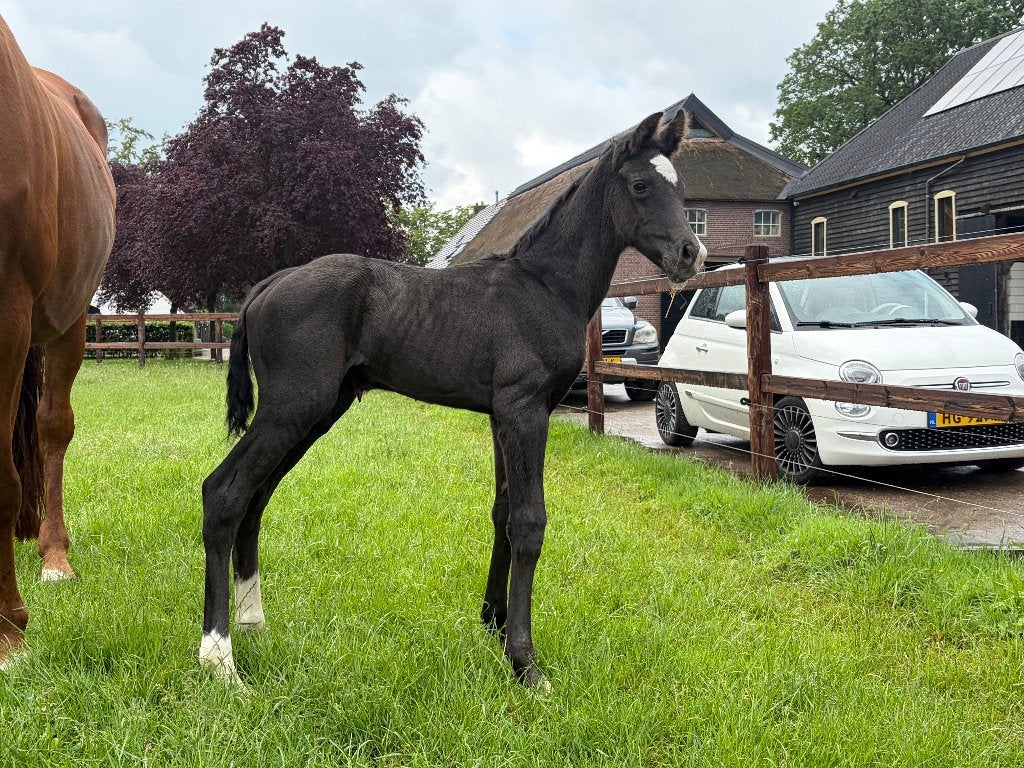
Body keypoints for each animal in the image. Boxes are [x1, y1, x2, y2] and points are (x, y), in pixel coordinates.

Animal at [200, 110, 706, 688]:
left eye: (681, 189)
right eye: (641, 185)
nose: (691, 254)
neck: (544, 286)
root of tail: (271, 283)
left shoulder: (502, 416)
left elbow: (502, 511)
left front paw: (495, 623)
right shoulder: (525, 411)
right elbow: (529, 521)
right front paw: (525, 662)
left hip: (315, 413)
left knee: (256, 496)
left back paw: (253, 621)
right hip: (292, 408)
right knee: (224, 491)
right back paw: (219, 657)